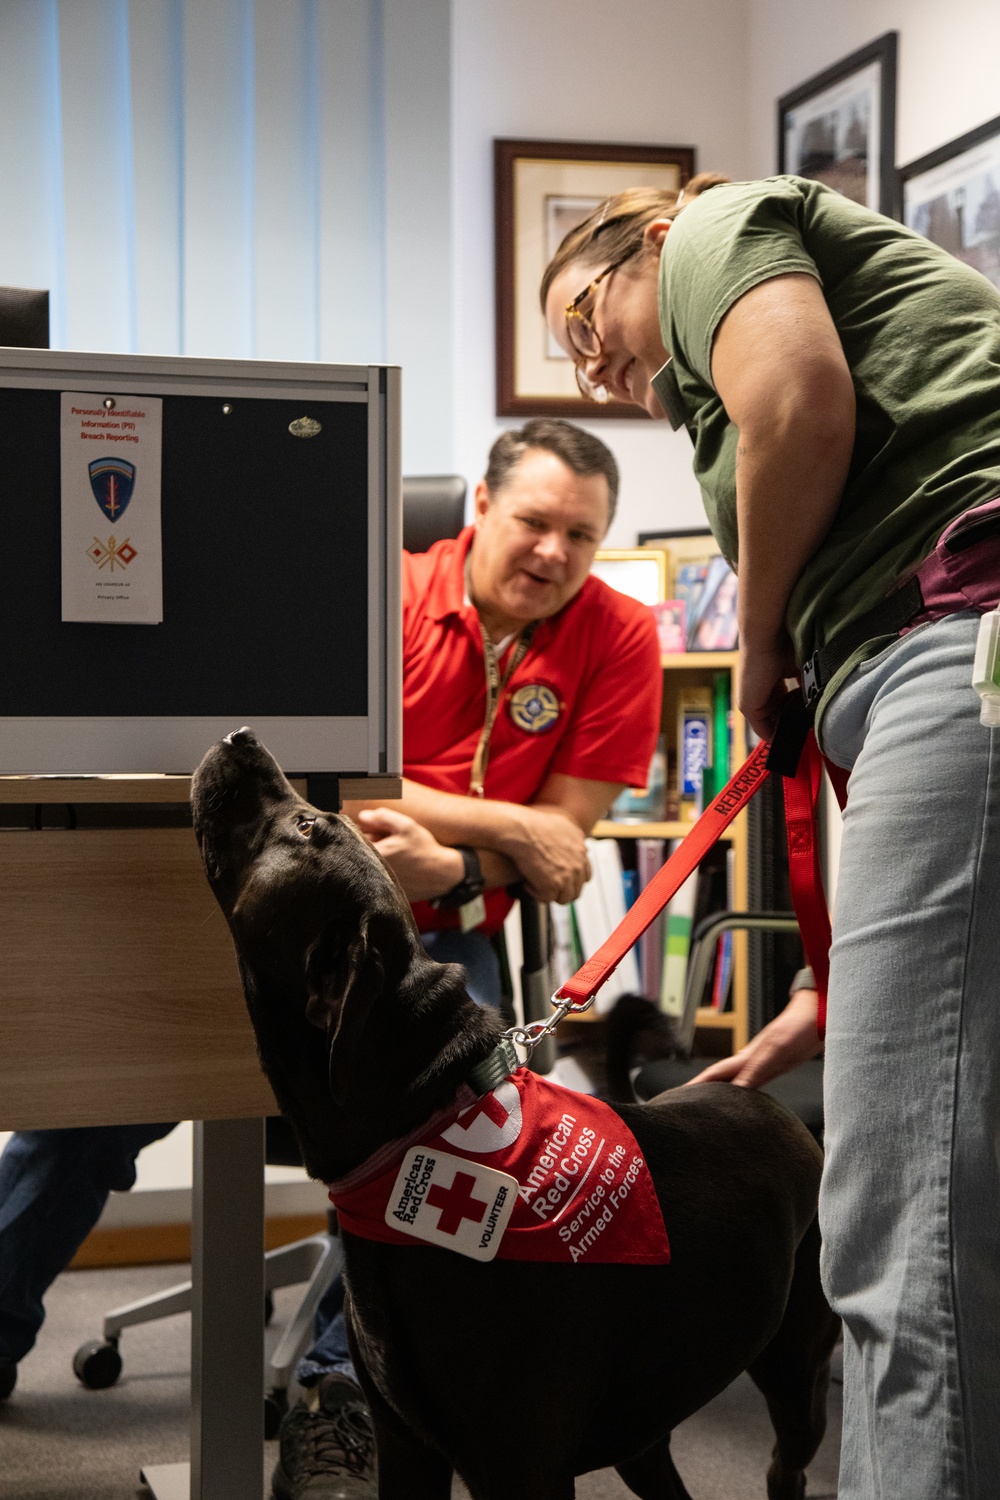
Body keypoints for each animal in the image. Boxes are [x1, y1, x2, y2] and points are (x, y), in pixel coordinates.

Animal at [191, 729, 839, 1500]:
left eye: (307, 825)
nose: (242, 737)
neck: (418, 1118)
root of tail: (774, 1104)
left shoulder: (521, 1469)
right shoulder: (405, 1447)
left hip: (796, 1371)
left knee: (786, 1462)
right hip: (644, 1432)